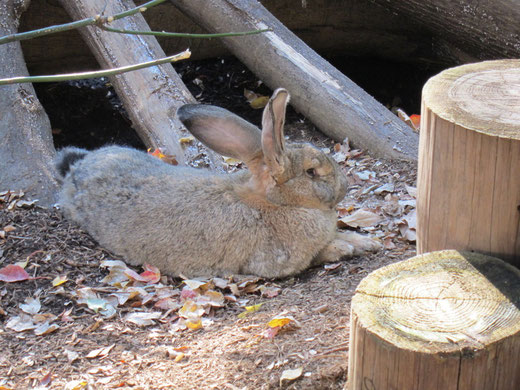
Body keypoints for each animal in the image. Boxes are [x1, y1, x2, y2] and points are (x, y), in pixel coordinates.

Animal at [55, 89, 382, 278]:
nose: (344, 187)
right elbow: (319, 254)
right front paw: (348, 248)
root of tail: (77, 169)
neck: (273, 202)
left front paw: (366, 242)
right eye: (312, 172)